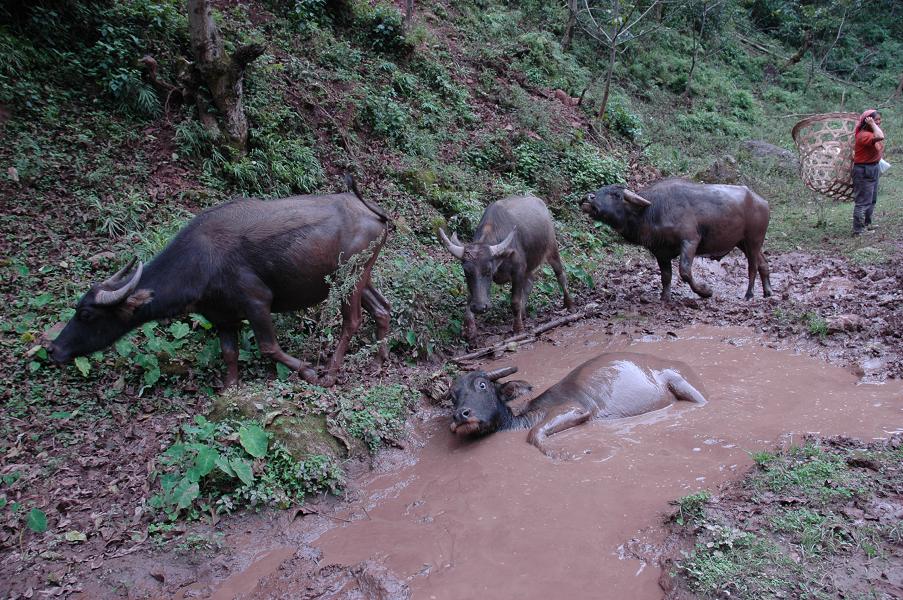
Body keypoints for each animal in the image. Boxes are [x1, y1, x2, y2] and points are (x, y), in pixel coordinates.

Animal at [46, 176, 390, 386]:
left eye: (86, 314)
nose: (53, 349)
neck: (200, 261)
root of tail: (370, 210)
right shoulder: (222, 316)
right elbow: (229, 354)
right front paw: (230, 387)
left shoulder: (257, 301)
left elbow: (269, 347)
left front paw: (307, 369)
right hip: (361, 277)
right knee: (382, 310)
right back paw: (378, 361)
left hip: (349, 277)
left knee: (353, 320)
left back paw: (330, 372)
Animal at [438, 196, 572, 340]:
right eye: (466, 272)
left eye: (488, 271)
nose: (479, 307)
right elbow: (469, 300)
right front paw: (469, 330)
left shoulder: (518, 271)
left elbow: (515, 301)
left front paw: (518, 328)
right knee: (530, 283)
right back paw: (523, 313)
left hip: (552, 249)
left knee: (560, 275)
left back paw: (569, 304)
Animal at [450, 354, 708, 458]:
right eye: (453, 395)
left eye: (482, 385)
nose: (461, 415)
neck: (524, 417)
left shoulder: (575, 409)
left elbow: (534, 434)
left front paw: (561, 454)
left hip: (682, 382)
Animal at [584, 177, 772, 300]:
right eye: (601, 190)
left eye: (615, 195)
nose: (588, 198)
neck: (653, 211)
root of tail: (762, 202)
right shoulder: (660, 251)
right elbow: (666, 276)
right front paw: (665, 297)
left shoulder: (690, 241)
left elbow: (685, 271)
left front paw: (705, 291)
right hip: (743, 243)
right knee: (763, 262)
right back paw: (768, 291)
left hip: (753, 240)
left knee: (753, 266)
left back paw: (749, 294)